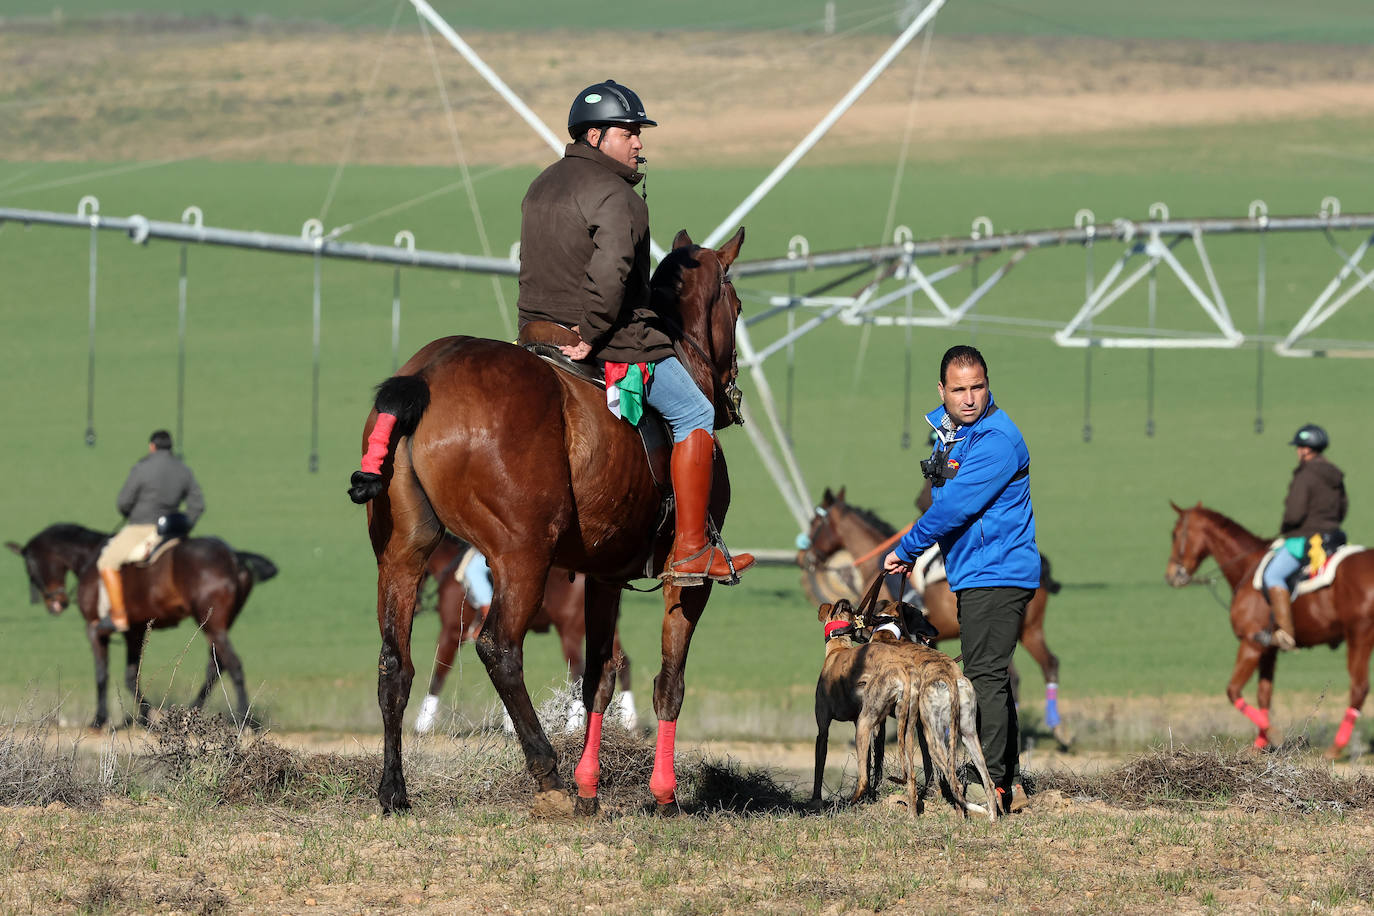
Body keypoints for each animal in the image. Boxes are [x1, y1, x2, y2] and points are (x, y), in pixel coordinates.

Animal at [5, 521, 278, 730]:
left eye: (29, 567)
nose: (56, 604)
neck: (89, 558)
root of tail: (233, 556)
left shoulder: (95, 631)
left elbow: (103, 674)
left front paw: (100, 720)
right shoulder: (133, 632)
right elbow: (131, 677)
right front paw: (148, 719)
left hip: (212, 626)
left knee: (233, 665)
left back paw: (244, 720)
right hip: (216, 627)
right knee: (216, 667)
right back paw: (191, 715)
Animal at [348, 229, 747, 818]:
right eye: (736, 306)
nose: (729, 393)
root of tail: (425, 374)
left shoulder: (604, 577)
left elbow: (599, 676)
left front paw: (591, 785)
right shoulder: (688, 581)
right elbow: (669, 682)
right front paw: (662, 793)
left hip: (402, 555)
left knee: (394, 664)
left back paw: (394, 789)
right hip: (523, 558)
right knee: (498, 650)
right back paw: (546, 771)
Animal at [1165, 502, 1368, 758]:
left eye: (1175, 534)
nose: (1172, 575)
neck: (1246, 567)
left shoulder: (1251, 644)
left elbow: (1233, 691)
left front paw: (1273, 735)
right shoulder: (1268, 650)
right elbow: (1264, 696)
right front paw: (1259, 745)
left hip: (1359, 636)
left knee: (1359, 688)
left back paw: (1335, 748)